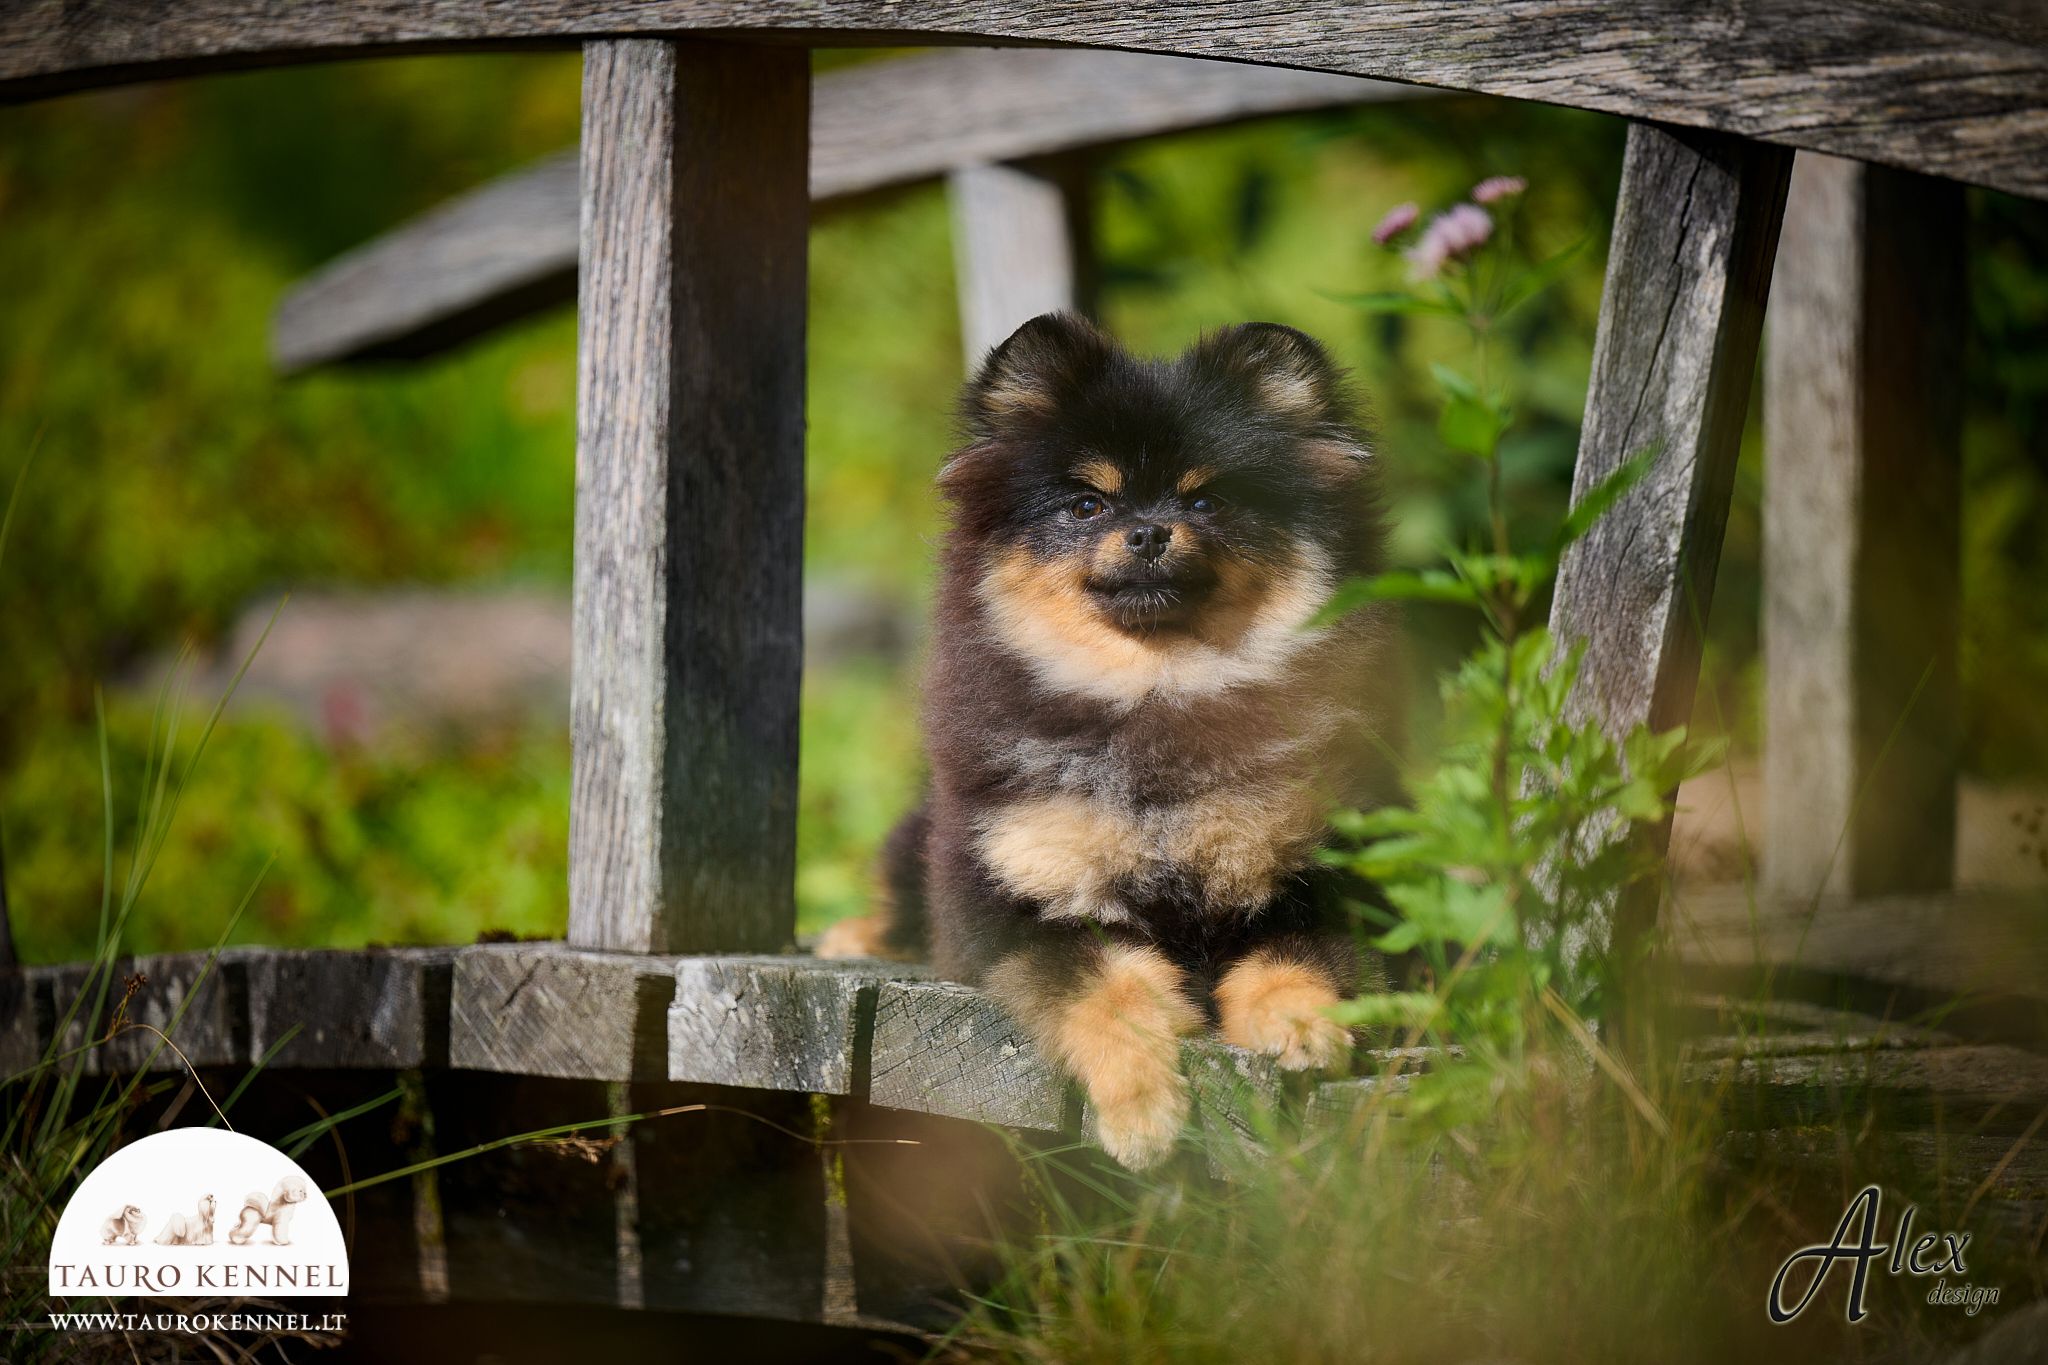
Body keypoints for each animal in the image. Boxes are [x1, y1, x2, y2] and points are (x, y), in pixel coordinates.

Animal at [823, 315, 1400, 1170]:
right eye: (1087, 505)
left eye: (1208, 498)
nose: (1150, 529)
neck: (1155, 698)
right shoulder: (1018, 894)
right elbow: (1108, 986)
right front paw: (1142, 1109)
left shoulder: (1330, 871)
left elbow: (1295, 952)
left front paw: (1299, 1023)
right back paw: (861, 933)